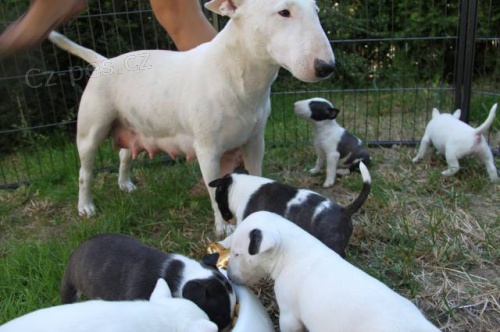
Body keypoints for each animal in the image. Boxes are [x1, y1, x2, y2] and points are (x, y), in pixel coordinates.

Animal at [47, 0, 336, 236]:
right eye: (283, 12)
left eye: (316, 10)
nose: (327, 67)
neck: (237, 73)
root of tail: (103, 62)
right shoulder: (207, 149)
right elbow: (213, 189)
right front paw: (224, 227)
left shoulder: (255, 141)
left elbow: (256, 175)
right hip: (91, 129)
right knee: (85, 171)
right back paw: (86, 206)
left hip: (132, 124)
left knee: (124, 154)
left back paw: (125, 184)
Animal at [208, 163, 372, 256]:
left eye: (217, 199)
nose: (226, 219)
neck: (239, 186)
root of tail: (345, 211)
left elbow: (232, 238)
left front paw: (221, 244)